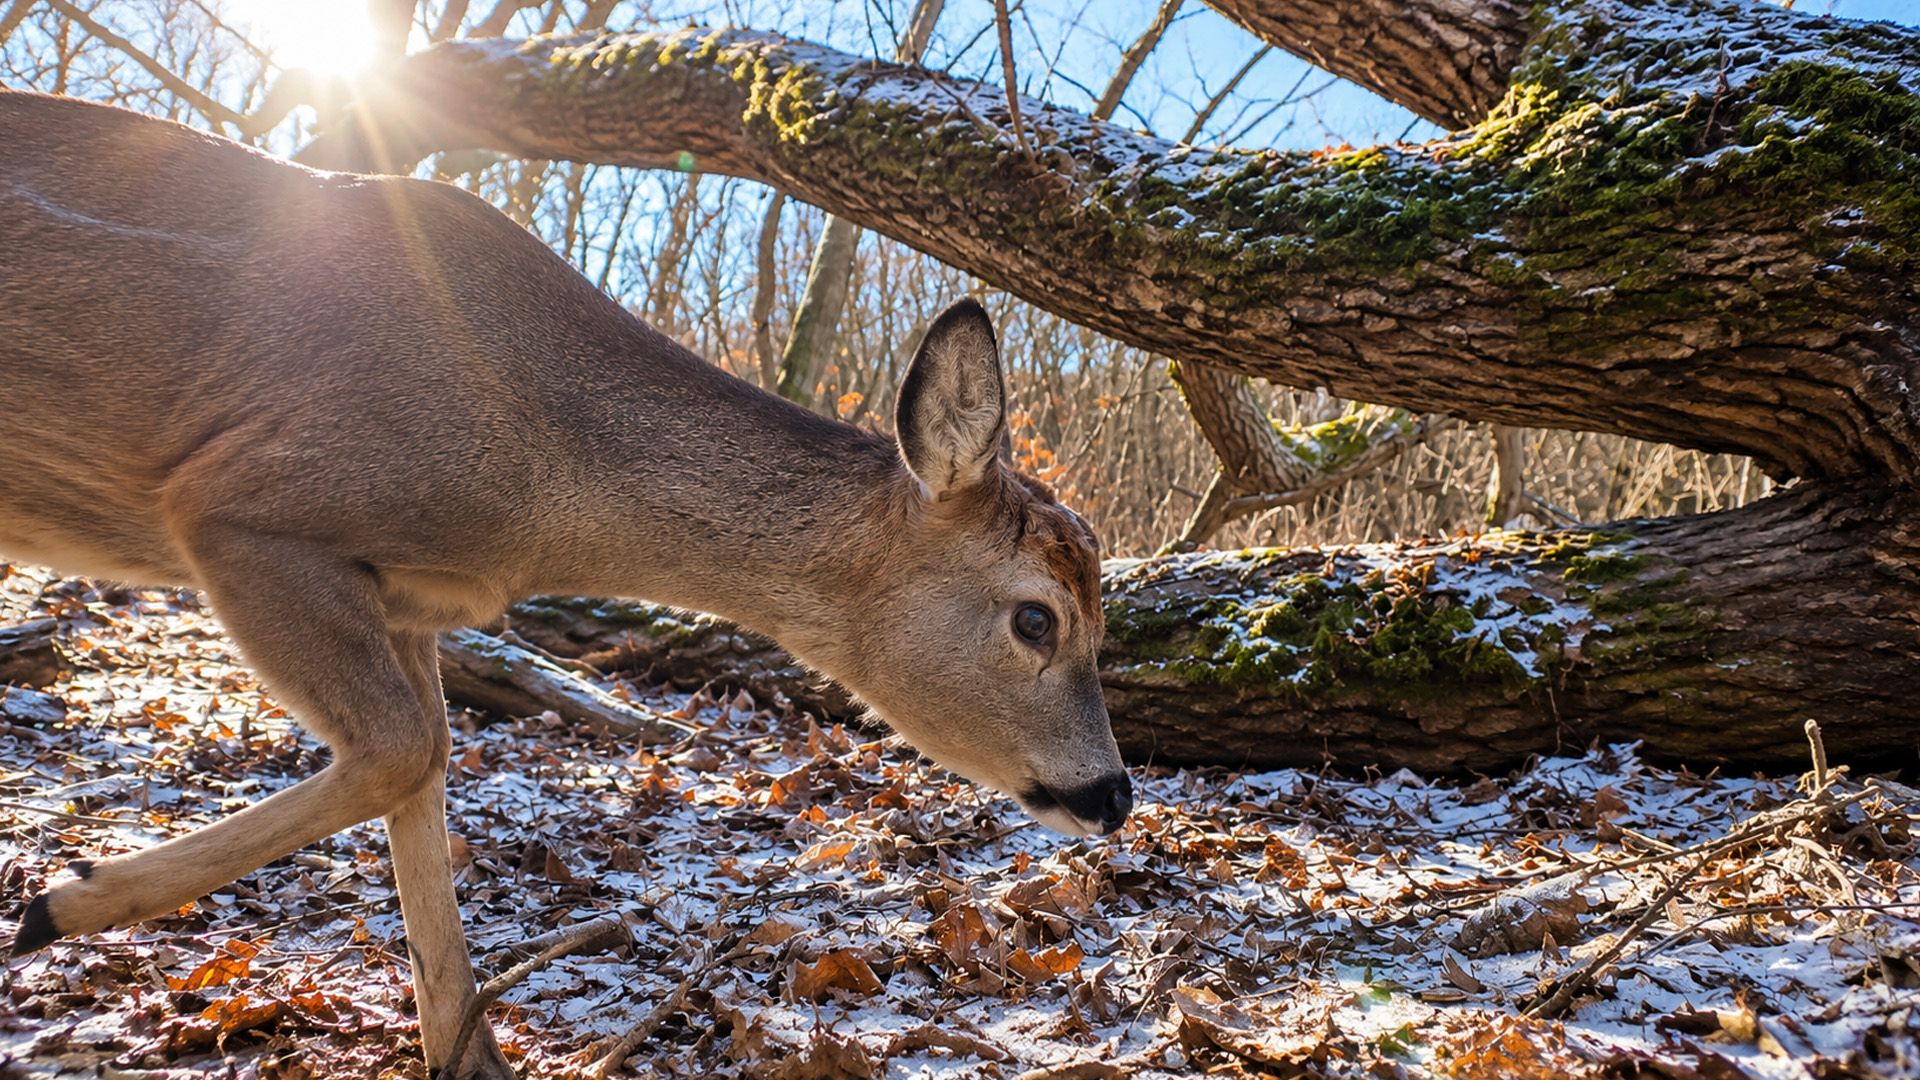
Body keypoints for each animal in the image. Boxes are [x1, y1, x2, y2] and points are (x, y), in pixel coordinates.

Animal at [0, 90, 1132, 1079]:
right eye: (1038, 618)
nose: (1113, 795)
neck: (539, 480)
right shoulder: (237, 506)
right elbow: (403, 748)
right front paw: (59, 902)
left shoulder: (410, 596)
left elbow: (423, 768)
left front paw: (468, 1054)